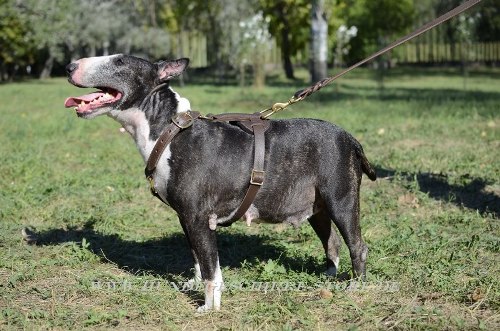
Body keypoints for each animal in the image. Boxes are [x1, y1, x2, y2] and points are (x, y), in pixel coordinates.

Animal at [64, 54, 376, 312]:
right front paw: (193, 284)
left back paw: (355, 286)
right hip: (317, 206)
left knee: (357, 245)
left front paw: (209, 307)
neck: (169, 131)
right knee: (331, 241)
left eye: (119, 62)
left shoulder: (198, 217)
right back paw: (328, 276)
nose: (69, 66)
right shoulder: (186, 217)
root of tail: (351, 139)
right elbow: (198, 257)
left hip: (341, 199)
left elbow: (211, 268)